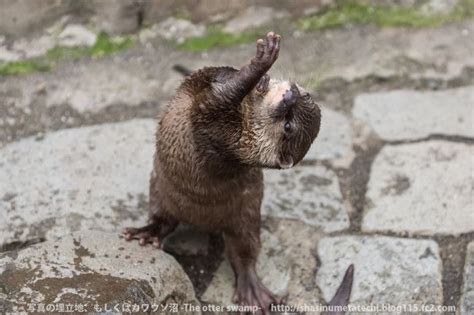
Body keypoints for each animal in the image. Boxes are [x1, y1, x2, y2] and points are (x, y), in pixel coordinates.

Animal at [124, 32, 350, 314]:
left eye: (288, 125)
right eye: (304, 93)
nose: (292, 93)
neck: (243, 129)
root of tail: (202, 222)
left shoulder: (215, 125)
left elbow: (219, 96)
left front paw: (262, 62)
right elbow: (221, 78)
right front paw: (262, 76)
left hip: (246, 218)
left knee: (244, 254)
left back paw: (252, 291)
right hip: (159, 189)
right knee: (163, 220)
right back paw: (147, 233)